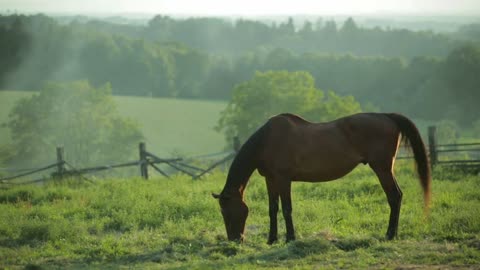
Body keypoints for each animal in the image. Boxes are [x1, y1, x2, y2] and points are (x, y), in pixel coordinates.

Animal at [212, 113, 430, 244]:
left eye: (227, 212)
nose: (235, 240)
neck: (266, 141)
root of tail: (387, 116)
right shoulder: (271, 180)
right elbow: (273, 209)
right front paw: (271, 239)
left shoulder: (283, 179)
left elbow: (287, 209)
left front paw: (290, 238)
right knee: (396, 196)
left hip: (382, 168)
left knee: (394, 196)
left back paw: (390, 234)